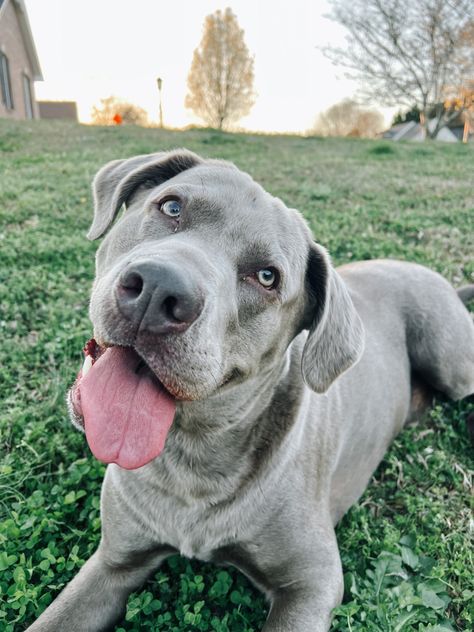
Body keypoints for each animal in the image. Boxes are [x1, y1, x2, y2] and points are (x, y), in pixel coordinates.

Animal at [28, 149, 474, 632]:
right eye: (171, 206)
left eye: (266, 276)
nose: (159, 290)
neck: (192, 457)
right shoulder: (114, 562)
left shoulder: (312, 584)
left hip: (452, 359)